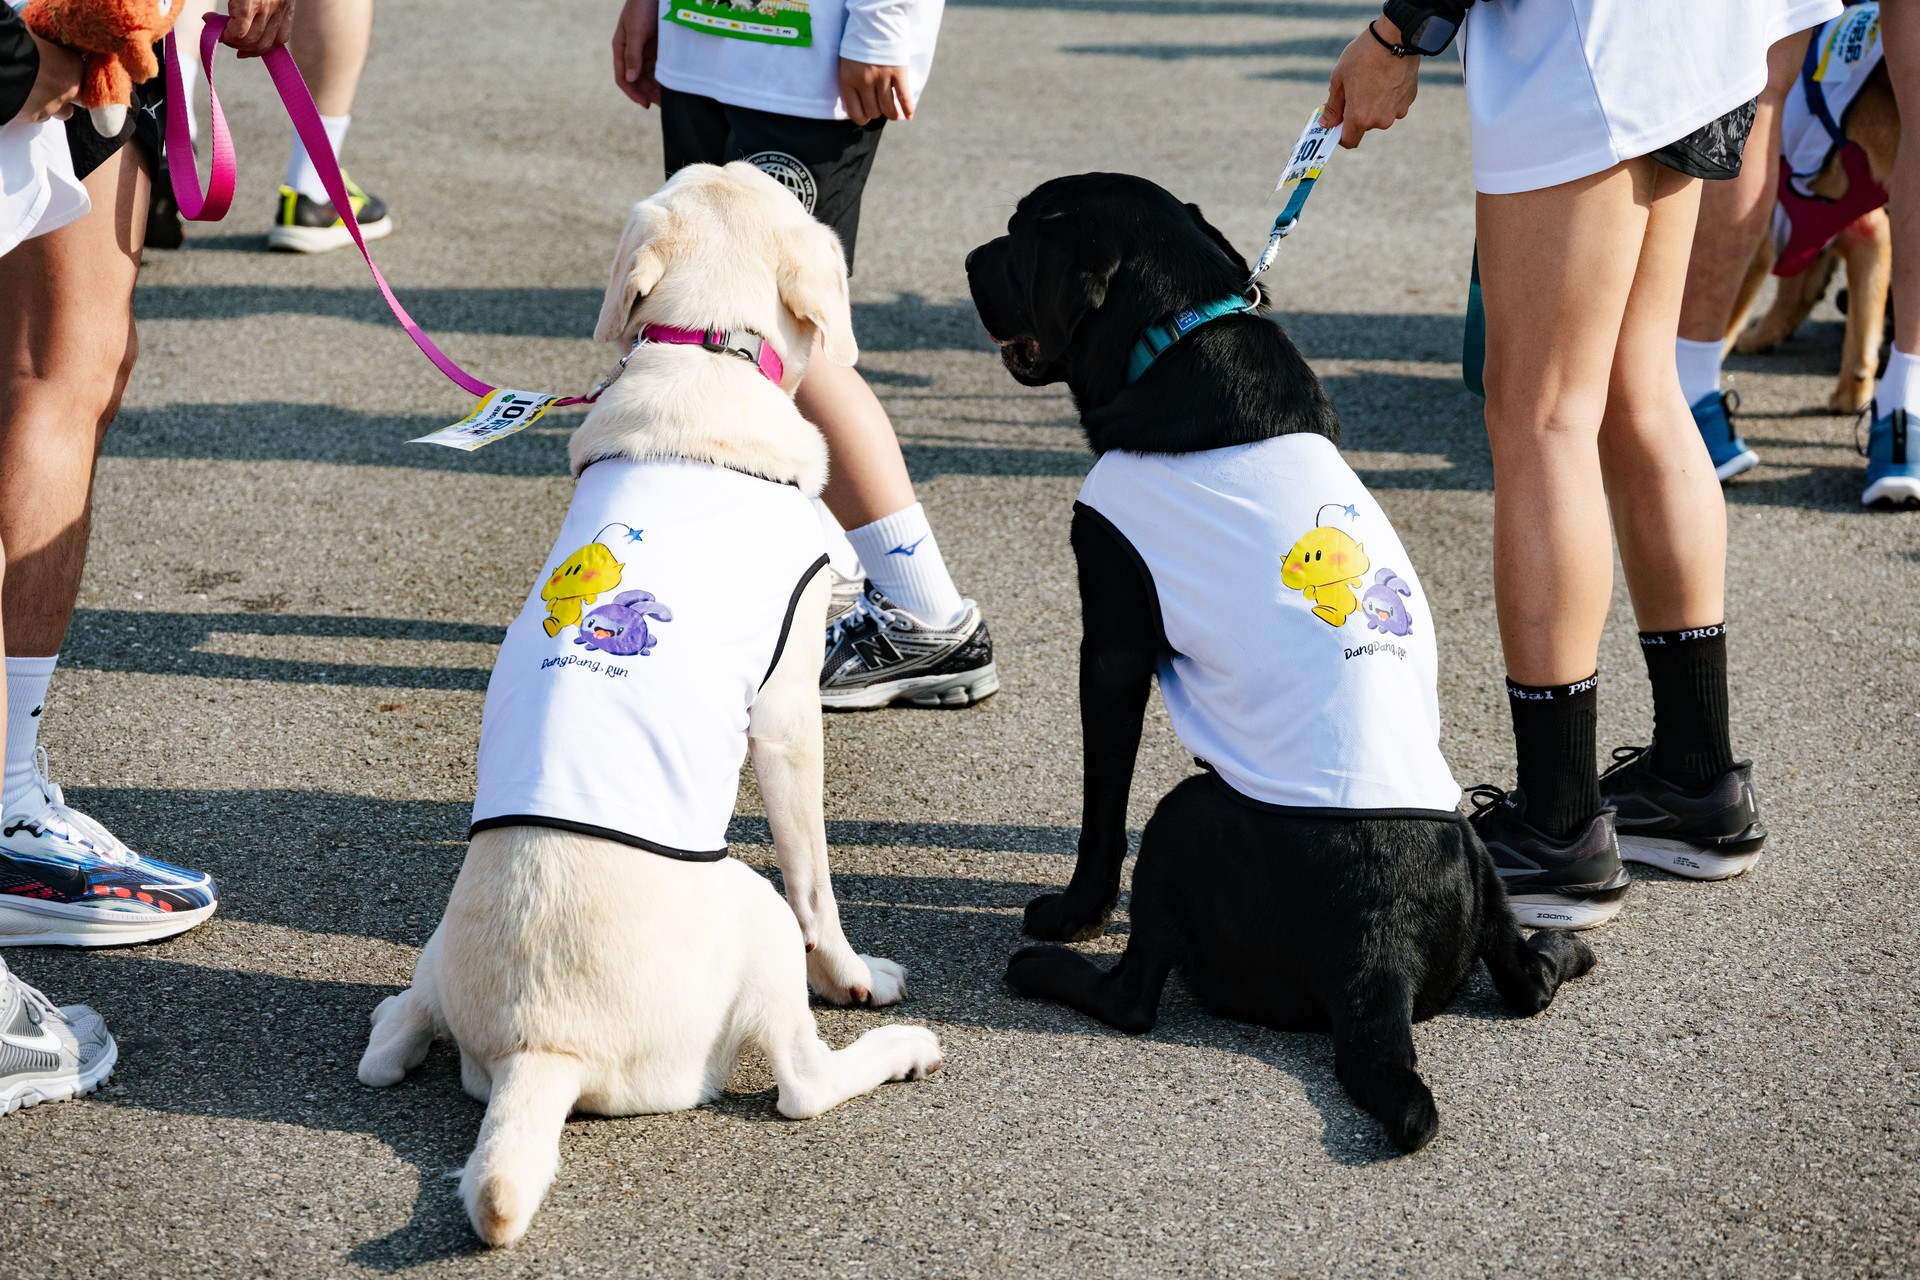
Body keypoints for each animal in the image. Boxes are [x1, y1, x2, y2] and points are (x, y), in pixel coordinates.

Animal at [358, 163, 941, 1247]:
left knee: (395, 1029)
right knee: (802, 1081)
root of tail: (539, 1047)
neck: (708, 349)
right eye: (774, 190)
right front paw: (849, 973)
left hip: (444, 962)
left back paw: (393, 1026)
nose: (789, 158)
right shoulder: (786, 716)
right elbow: (818, 877)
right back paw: (900, 1042)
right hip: (751, 908)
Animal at [965, 172, 1594, 1153]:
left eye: (1020, 235)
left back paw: (1039, 968)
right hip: (1474, 847)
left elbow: (1100, 809)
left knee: (1135, 993)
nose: (966, 259)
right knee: (1523, 980)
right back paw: (1561, 948)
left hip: (1181, 817)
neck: (1174, 334)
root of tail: (1381, 957)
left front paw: (1073, 915)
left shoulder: (1109, 644)